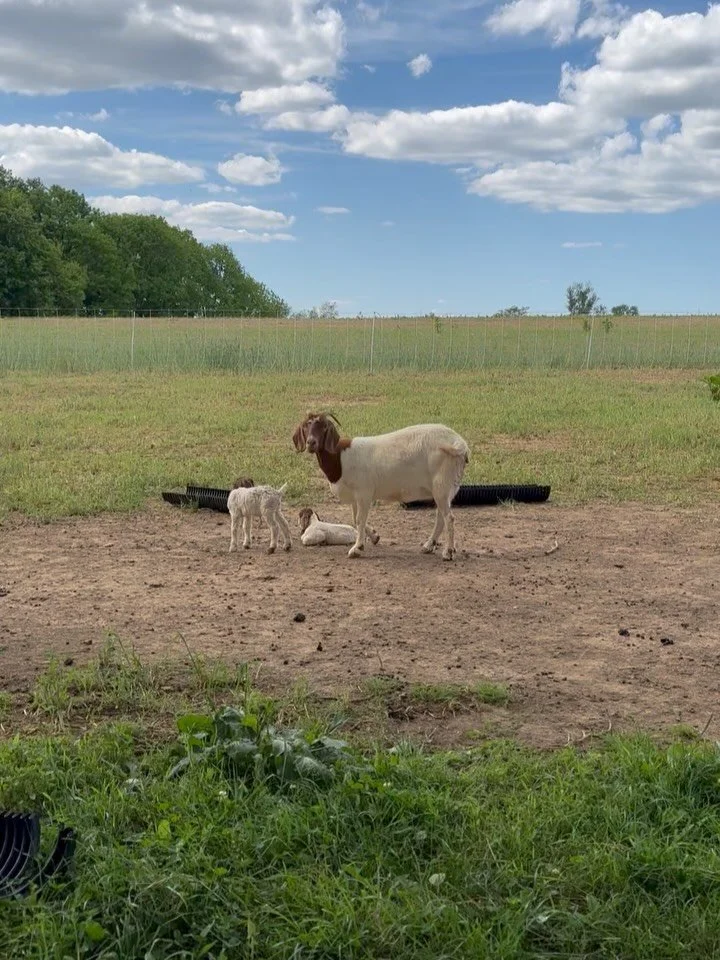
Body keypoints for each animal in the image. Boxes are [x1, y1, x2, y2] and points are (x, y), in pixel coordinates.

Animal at [292, 413, 470, 560]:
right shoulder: (356, 497)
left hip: (442, 485)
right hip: (445, 489)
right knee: (441, 517)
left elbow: (359, 519)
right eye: (306, 426)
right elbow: (356, 519)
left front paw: (357, 548)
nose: (311, 443)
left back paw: (448, 552)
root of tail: (459, 443)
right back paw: (428, 546)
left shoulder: (364, 492)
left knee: (449, 518)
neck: (340, 458)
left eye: (324, 427)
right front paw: (374, 537)